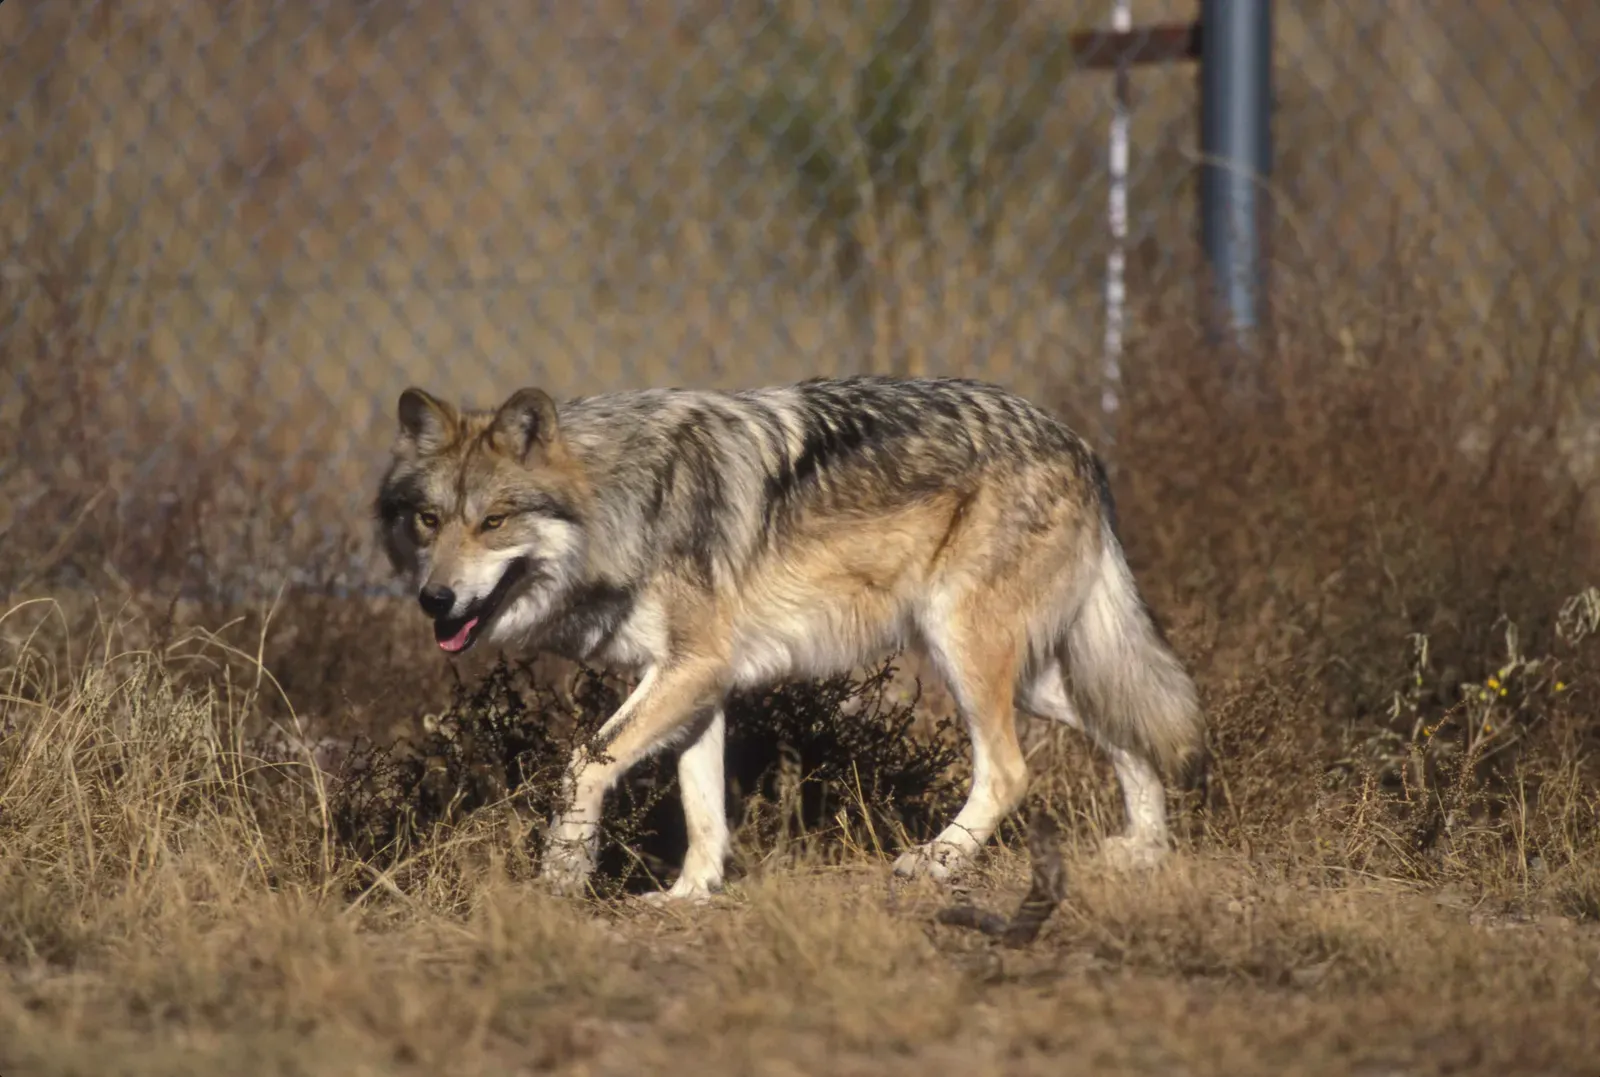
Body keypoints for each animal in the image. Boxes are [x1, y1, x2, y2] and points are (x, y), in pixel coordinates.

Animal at [374, 374, 1204, 902]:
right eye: (429, 520)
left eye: (493, 521)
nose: (435, 599)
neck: (623, 503)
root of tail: (1078, 443)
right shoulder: (696, 683)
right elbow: (703, 805)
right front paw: (688, 893)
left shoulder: (692, 669)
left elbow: (583, 762)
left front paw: (563, 874)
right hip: (1029, 673)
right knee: (1130, 726)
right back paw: (1144, 850)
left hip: (965, 654)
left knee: (1010, 771)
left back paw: (934, 861)